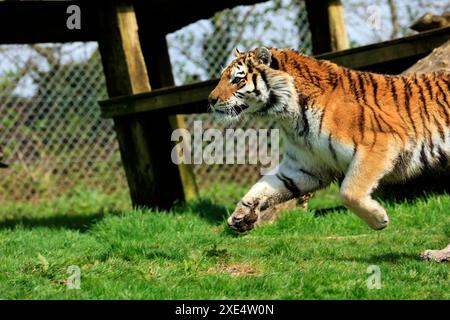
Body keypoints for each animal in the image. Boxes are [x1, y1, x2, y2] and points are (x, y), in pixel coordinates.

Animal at [208, 47, 450, 260]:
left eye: (237, 80)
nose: (210, 100)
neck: (290, 113)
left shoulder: (380, 142)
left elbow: (349, 192)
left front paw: (379, 219)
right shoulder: (305, 167)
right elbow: (264, 187)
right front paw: (241, 216)